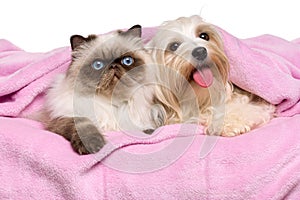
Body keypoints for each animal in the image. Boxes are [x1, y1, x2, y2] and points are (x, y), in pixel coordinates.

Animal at [40, 25, 164, 155]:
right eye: (98, 64)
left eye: (127, 61)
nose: (113, 66)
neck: (112, 102)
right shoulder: (64, 118)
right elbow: (84, 125)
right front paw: (93, 146)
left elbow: (143, 129)